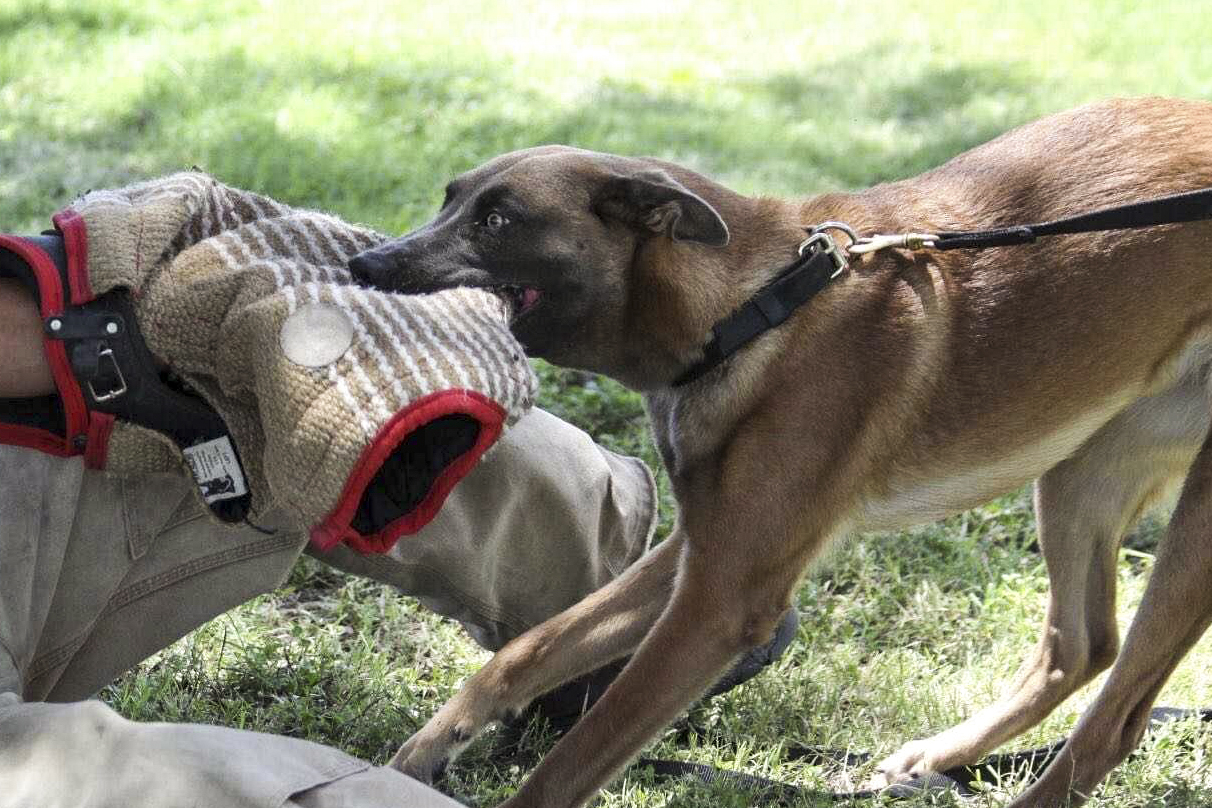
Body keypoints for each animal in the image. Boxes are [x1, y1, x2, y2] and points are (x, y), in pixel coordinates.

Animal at [349, 98, 1212, 804]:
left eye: (500, 221)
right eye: (449, 200)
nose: (365, 264)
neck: (752, 308)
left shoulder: (724, 599)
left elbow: (577, 757)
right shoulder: (701, 552)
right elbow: (530, 649)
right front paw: (424, 753)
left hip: (1187, 532)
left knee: (1117, 720)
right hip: (1083, 471)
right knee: (1079, 645)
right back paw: (939, 755)